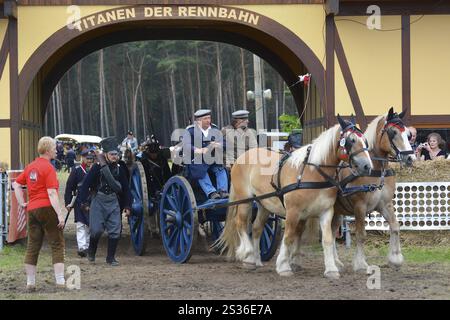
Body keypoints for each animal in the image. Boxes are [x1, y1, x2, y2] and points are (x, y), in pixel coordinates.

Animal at [214, 114, 372, 278]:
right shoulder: (293, 212)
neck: (311, 172)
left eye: (365, 141)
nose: (367, 166)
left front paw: (331, 269)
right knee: (241, 224)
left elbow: (327, 239)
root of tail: (242, 157)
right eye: (351, 140)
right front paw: (284, 266)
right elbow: (289, 237)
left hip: (264, 204)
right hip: (245, 200)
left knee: (257, 228)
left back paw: (255, 260)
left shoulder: (326, 211)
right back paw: (248, 254)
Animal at [330, 107, 414, 272]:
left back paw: (336, 261)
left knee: (332, 231)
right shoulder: (360, 206)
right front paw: (360, 264)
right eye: (393, 132)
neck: (375, 170)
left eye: (408, 134)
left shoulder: (385, 204)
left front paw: (395, 258)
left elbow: (395, 226)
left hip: (337, 211)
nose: (410, 158)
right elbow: (361, 234)